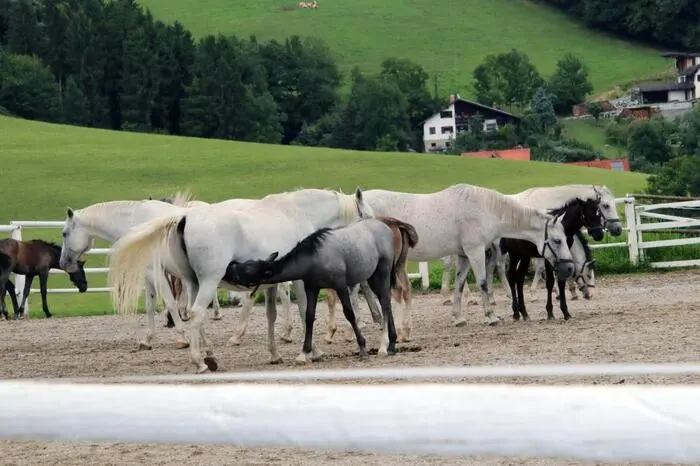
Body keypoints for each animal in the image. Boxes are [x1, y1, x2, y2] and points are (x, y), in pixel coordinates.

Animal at [59, 192, 195, 349]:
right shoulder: (148, 274)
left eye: (64, 233)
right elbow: (150, 305)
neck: (139, 225)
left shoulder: (156, 272)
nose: (63, 263)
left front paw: (182, 338)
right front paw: (147, 339)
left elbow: (170, 303)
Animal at [107, 187, 375, 373]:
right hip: (208, 281)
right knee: (196, 313)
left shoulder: (271, 284)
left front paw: (274, 354)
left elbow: (271, 316)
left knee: (195, 315)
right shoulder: (301, 281)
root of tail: (184, 217)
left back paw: (210, 355)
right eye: (367, 215)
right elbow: (303, 312)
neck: (295, 214)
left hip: (194, 283)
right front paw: (312, 352)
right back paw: (200, 361)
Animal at [225, 217, 418, 362]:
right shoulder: (312, 288)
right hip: (372, 277)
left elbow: (350, 314)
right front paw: (304, 353)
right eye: (247, 263)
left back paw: (384, 345)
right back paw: (392, 343)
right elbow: (309, 316)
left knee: (385, 303)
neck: (315, 257)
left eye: (247, 270)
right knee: (386, 302)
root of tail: (386, 227)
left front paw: (362, 347)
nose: (229, 267)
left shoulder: (340, 286)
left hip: (382, 273)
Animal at [355, 184, 575, 341]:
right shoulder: (475, 252)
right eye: (557, 240)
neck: (483, 209)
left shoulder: (463, 256)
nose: (569, 267)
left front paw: (458, 318)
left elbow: (459, 284)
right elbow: (483, 283)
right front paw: (491, 316)